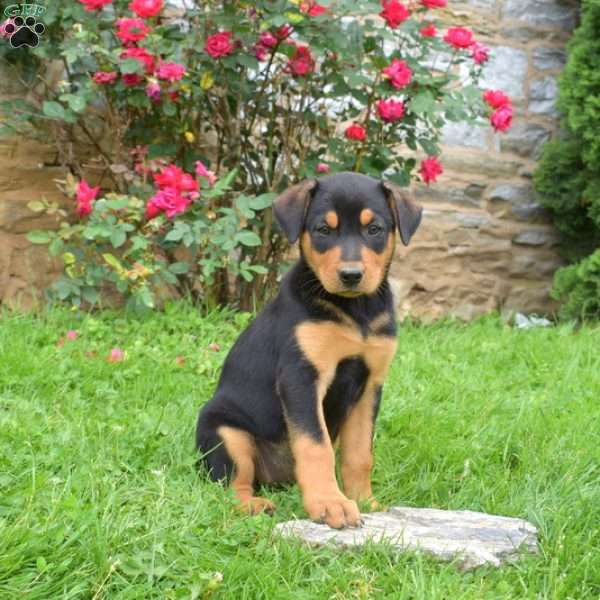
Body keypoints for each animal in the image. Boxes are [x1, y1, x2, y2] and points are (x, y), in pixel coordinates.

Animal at [197, 171, 422, 528]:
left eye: (374, 229)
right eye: (323, 230)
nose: (351, 275)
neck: (354, 311)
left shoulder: (370, 384)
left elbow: (360, 453)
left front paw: (364, 500)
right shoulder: (301, 377)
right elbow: (316, 446)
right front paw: (330, 504)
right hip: (225, 430)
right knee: (232, 482)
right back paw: (252, 505)